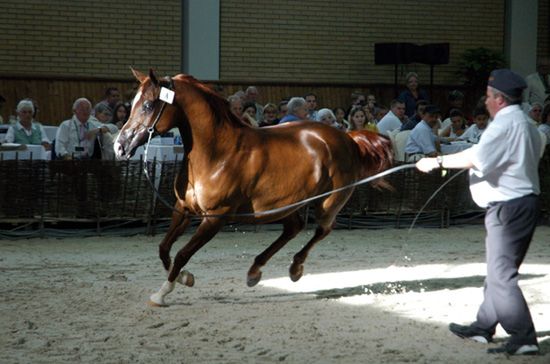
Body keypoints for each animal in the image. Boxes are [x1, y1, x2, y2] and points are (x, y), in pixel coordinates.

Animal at [115, 69, 392, 308]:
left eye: (148, 105)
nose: (120, 146)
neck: (217, 154)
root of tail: (348, 138)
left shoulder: (215, 218)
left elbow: (183, 253)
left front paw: (162, 293)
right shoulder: (183, 208)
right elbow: (164, 248)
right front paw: (185, 277)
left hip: (329, 201)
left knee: (322, 230)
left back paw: (295, 268)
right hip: (285, 204)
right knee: (294, 228)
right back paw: (255, 271)